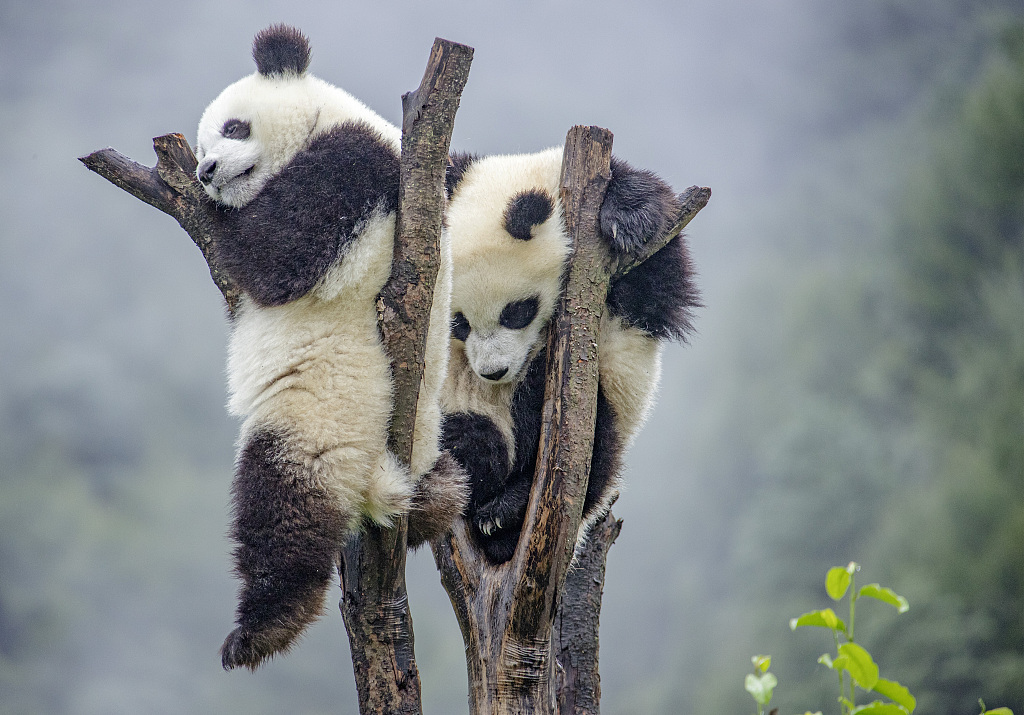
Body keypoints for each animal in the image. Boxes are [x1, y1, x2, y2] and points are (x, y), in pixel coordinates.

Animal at [193, 23, 466, 667]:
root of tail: (392, 478)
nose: (205, 171)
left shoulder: (355, 165)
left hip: (327, 412)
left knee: (285, 505)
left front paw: (216, 216)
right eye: (196, 146)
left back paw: (264, 624)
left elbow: (277, 257)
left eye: (233, 127)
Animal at [440, 146, 696, 561]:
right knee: (472, 439)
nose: (493, 372)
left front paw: (628, 222)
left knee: (591, 448)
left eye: (516, 311)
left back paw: (504, 513)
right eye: (458, 323)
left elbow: (657, 283)